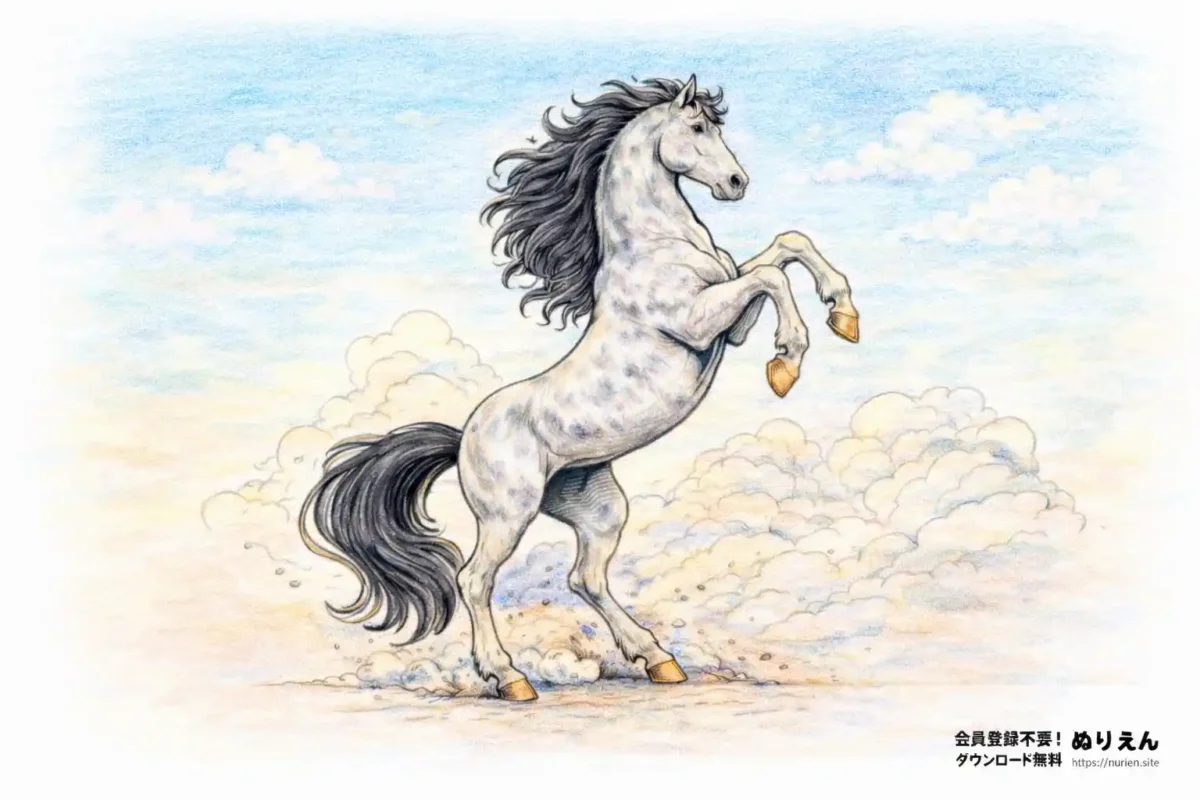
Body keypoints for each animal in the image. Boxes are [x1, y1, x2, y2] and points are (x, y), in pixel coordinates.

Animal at [299, 76, 860, 701]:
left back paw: (658, 660)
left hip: (598, 509)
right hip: (508, 514)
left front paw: (843, 315)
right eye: (696, 128)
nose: (737, 183)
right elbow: (769, 274)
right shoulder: (699, 322)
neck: (655, 244)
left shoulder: (729, 324)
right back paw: (510, 678)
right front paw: (788, 360)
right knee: (474, 578)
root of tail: (463, 437)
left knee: (584, 577)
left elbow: (786, 247)